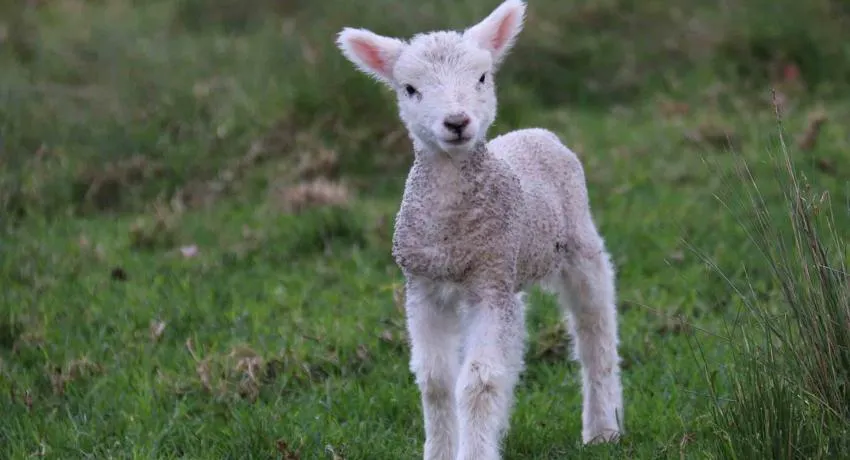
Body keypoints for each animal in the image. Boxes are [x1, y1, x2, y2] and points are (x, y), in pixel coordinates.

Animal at [334, 1, 620, 458]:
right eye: (410, 89)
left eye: (482, 77)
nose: (456, 121)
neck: (451, 231)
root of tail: (536, 132)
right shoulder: (424, 287)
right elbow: (436, 381)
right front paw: (440, 451)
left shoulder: (487, 287)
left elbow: (479, 380)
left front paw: (475, 450)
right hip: (509, 272)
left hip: (578, 244)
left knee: (596, 332)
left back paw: (602, 428)